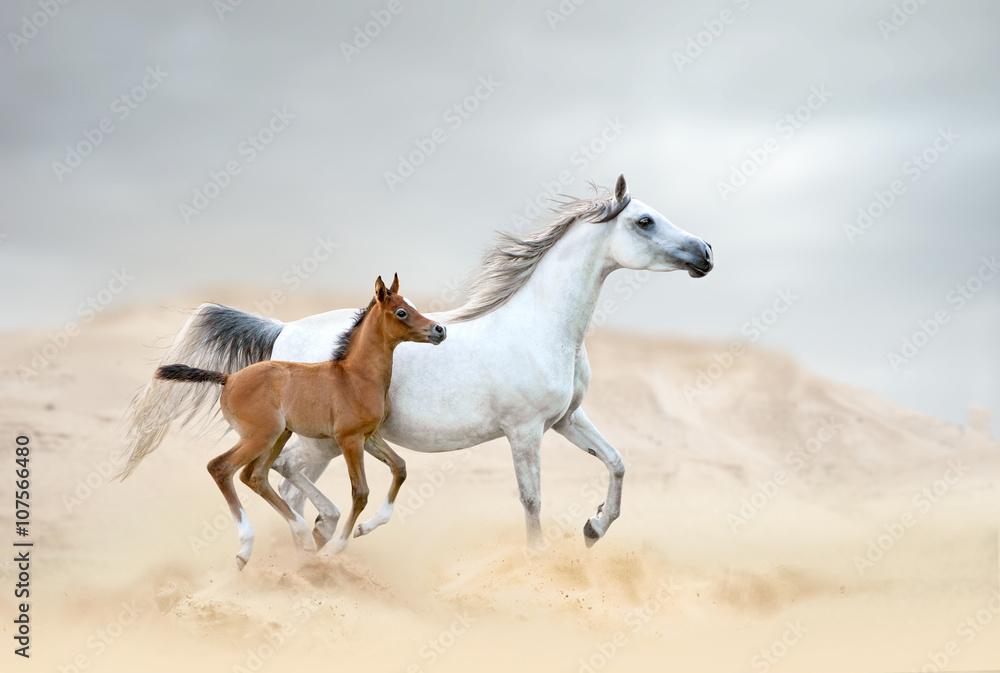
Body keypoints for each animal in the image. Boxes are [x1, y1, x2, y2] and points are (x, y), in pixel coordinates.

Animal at [144, 275, 445, 568]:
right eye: (402, 312)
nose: (439, 330)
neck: (356, 377)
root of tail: (228, 378)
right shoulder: (348, 439)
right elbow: (360, 492)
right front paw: (335, 548)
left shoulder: (369, 436)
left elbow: (400, 467)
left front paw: (364, 528)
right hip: (261, 436)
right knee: (221, 467)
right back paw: (248, 549)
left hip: (280, 435)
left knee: (254, 476)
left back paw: (303, 537)